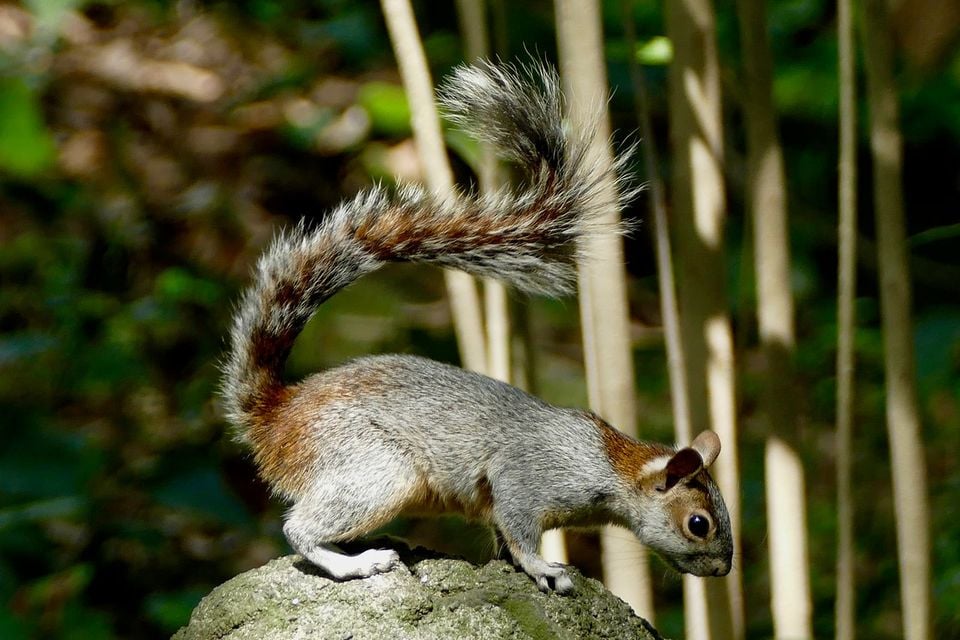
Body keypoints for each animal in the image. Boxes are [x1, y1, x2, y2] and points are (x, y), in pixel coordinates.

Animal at [221, 61, 733, 593]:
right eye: (698, 523)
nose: (723, 568)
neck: (614, 464)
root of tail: (276, 418)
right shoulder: (527, 478)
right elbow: (519, 528)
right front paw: (543, 568)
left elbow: (502, 536)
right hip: (376, 469)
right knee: (299, 528)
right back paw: (356, 563)